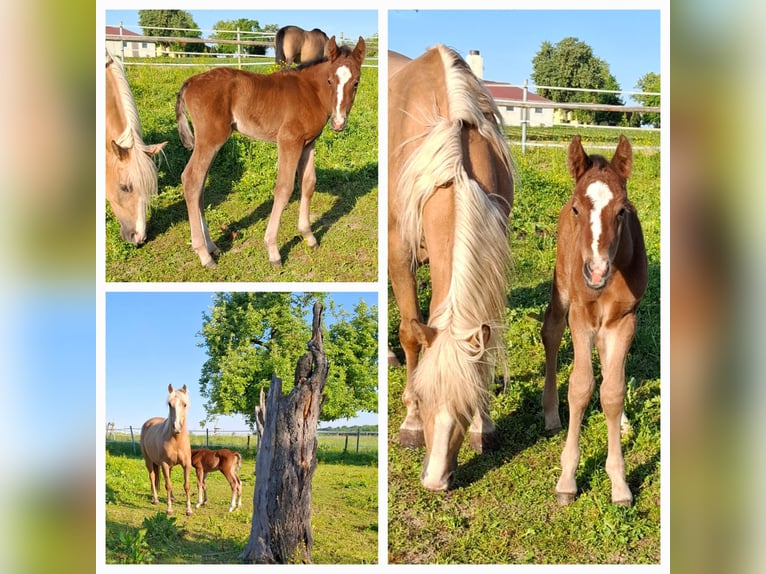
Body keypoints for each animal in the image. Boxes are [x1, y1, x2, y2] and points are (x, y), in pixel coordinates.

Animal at [140, 384, 193, 515]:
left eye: (185, 404)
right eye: (169, 404)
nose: (176, 427)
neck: (176, 440)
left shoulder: (187, 464)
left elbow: (186, 485)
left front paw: (189, 509)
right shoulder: (164, 464)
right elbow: (168, 485)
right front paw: (169, 509)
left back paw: (172, 498)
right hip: (148, 461)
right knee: (152, 477)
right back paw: (155, 499)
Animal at [175, 35, 366, 268]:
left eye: (356, 82)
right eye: (330, 80)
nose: (338, 123)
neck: (310, 91)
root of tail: (190, 82)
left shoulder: (308, 143)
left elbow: (308, 184)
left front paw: (308, 236)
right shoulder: (289, 141)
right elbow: (284, 189)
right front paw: (273, 250)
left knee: (200, 185)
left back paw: (212, 247)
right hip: (211, 139)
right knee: (191, 179)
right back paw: (203, 254)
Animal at [388, 47, 514, 491]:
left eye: (466, 405)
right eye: (426, 399)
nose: (435, 480)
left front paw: (484, 427)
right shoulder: (398, 252)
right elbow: (411, 334)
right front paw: (409, 423)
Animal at [541, 135, 647, 506]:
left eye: (622, 210)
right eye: (578, 209)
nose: (596, 272)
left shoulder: (625, 320)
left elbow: (612, 391)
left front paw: (619, 482)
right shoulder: (581, 317)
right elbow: (580, 387)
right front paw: (567, 480)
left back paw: (625, 422)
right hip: (562, 288)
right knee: (550, 332)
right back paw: (550, 414)